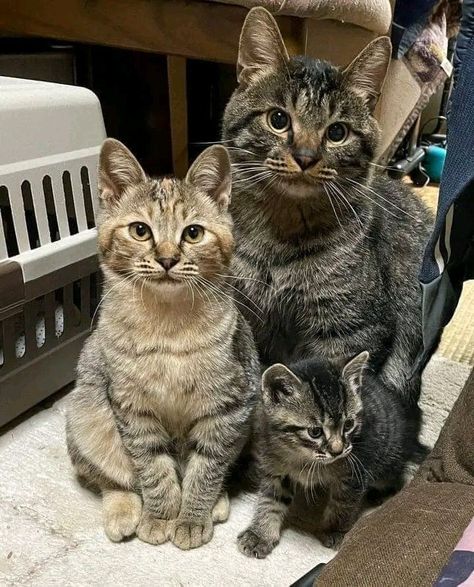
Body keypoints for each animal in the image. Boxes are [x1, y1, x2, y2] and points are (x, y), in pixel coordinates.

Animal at [65, 139, 260, 552]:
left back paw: (218, 501)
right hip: (86, 414)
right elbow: (152, 469)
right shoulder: (132, 409)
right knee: (111, 479)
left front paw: (191, 517)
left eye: (193, 233)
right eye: (140, 230)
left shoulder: (226, 408)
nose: (168, 258)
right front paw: (161, 516)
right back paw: (123, 511)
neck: (168, 327)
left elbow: (206, 469)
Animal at [222, 8, 434, 404]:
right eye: (278, 119)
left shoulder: (353, 330)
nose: (305, 157)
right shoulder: (246, 317)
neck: (280, 232)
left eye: (337, 132)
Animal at [239, 352, 424, 560]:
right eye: (315, 432)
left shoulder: (354, 475)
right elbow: (270, 501)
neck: (305, 458)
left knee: (396, 478)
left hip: (386, 462)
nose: (338, 450)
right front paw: (260, 534)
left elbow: (343, 504)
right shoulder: (275, 469)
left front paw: (334, 530)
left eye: (349, 424)